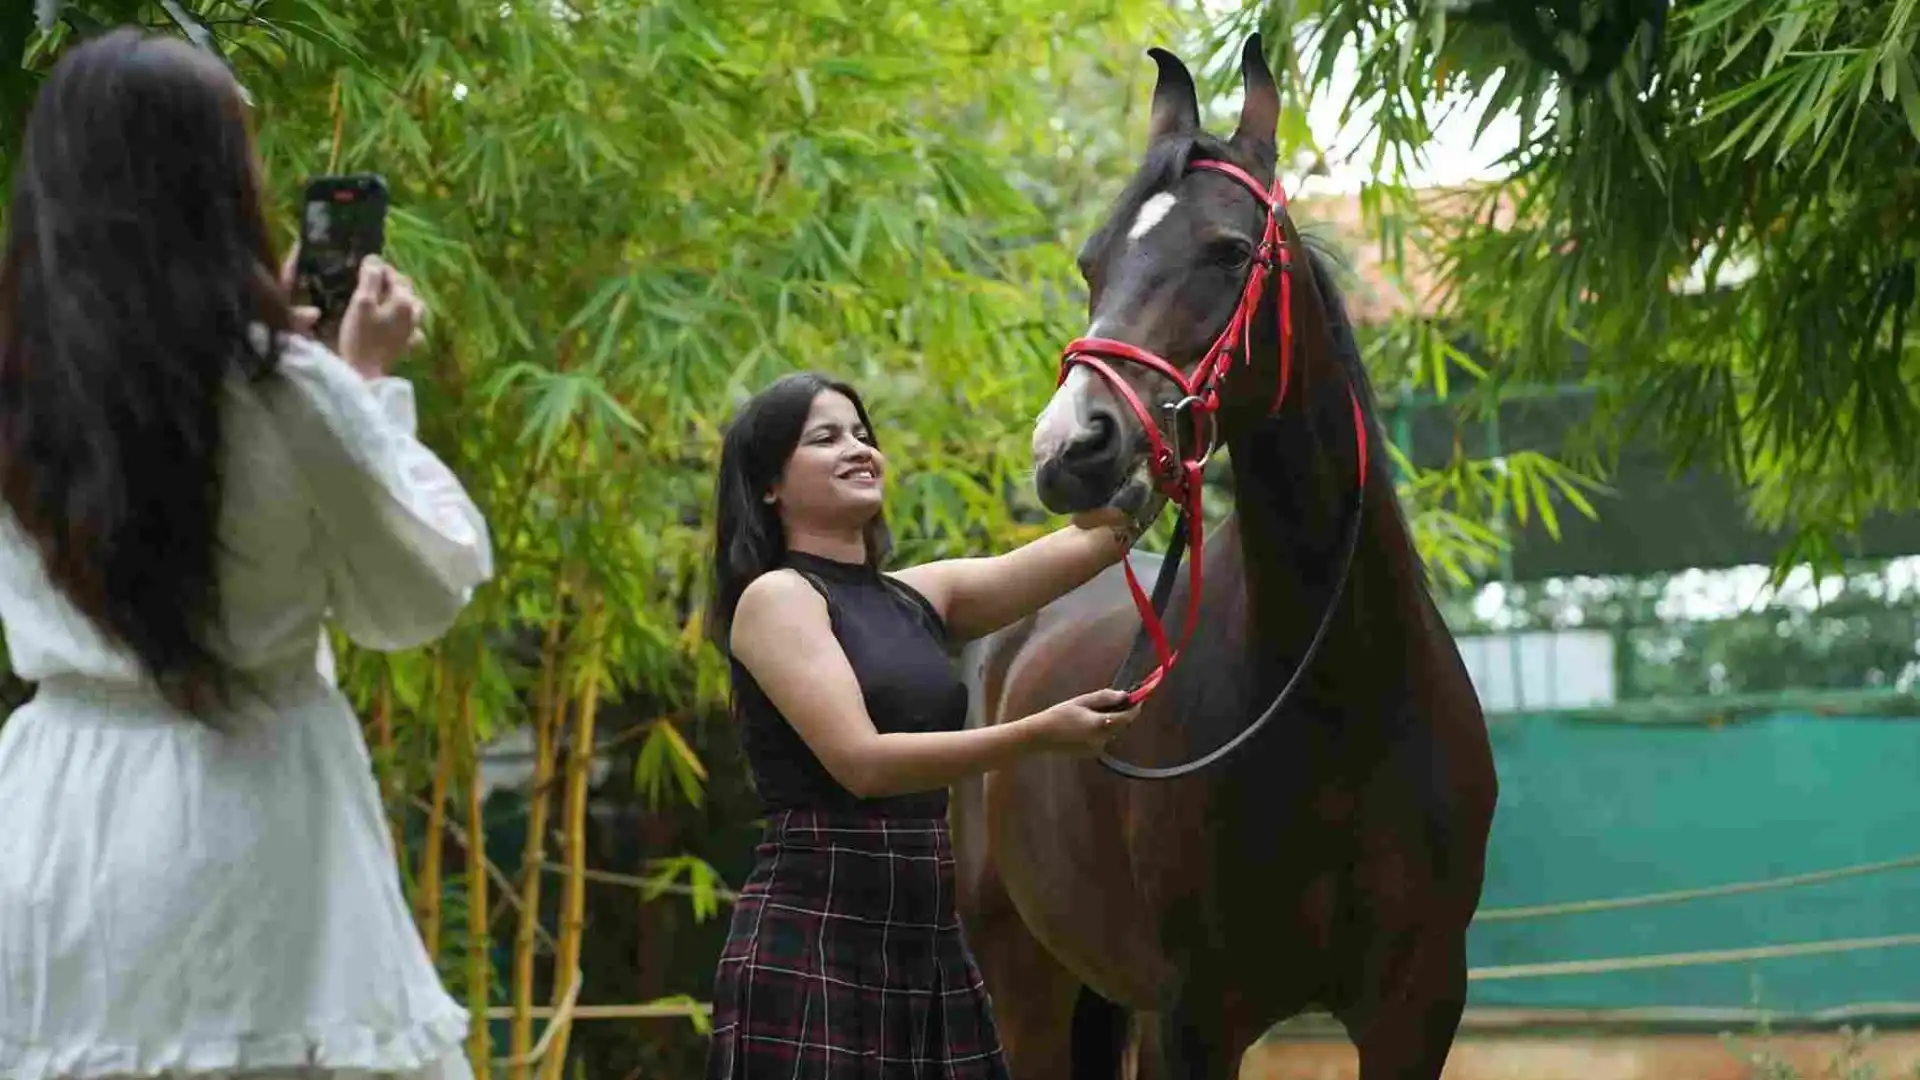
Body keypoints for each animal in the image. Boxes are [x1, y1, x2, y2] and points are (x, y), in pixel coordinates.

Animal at [949, 34, 1499, 1080]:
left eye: (1229, 252)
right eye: (1091, 262)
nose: (1071, 448)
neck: (1340, 699)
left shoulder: (1416, 1009)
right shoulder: (1194, 1017)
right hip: (1025, 983)